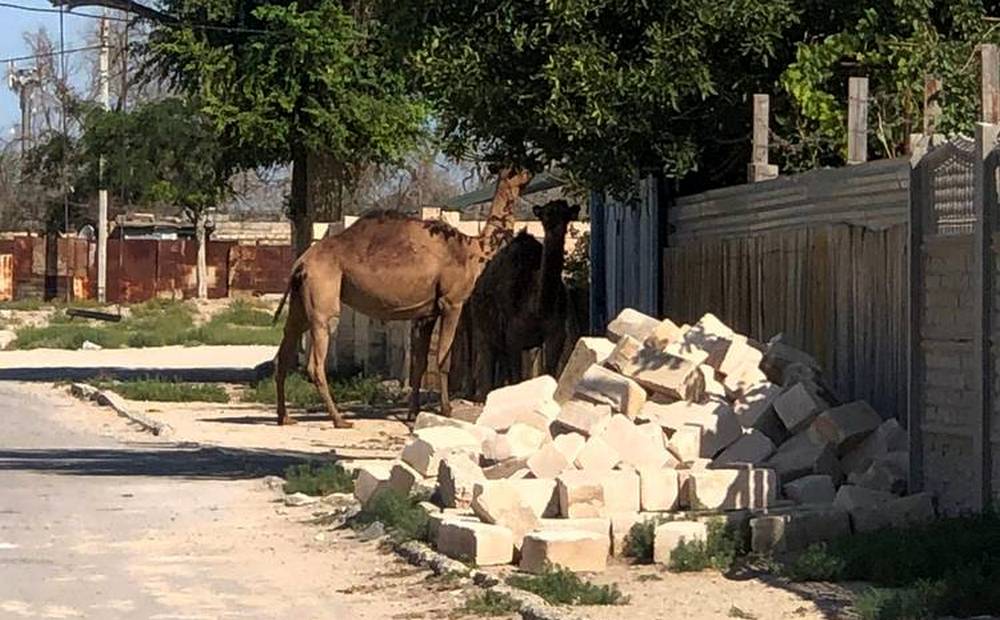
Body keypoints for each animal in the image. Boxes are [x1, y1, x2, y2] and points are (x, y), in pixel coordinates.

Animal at [266, 172, 532, 428]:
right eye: (515, 171)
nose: (530, 172)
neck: (473, 250)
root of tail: (300, 263)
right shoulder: (451, 303)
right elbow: (442, 359)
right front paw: (446, 409)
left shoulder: (427, 313)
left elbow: (420, 364)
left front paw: (413, 413)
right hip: (323, 294)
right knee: (316, 359)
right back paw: (339, 420)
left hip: (300, 301)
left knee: (285, 349)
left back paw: (284, 417)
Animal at [462, 201, 576, 400]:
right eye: (545, 214)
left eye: (566, 214)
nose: (554, 226)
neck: (536, 308)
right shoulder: (513, 337)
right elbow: (517, 379)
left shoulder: (555, 335)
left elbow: (549, 373)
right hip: (482, 331)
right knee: (487, 366)